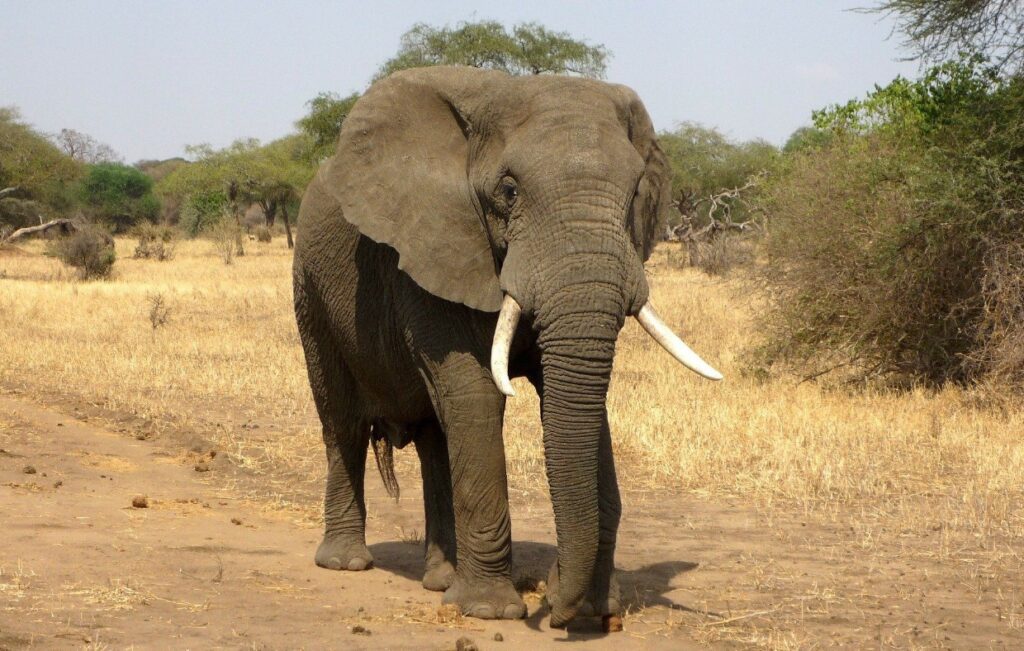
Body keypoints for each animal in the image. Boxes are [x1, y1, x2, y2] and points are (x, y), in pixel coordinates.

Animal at [288, 64, 720, 626]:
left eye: (633, 196)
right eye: (509, 191)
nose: (555, 607)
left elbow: (571, 399)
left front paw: (593, 609)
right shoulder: (432, 248)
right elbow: (477, 395)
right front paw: (489, 612)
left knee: (435, 437)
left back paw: (441, 579)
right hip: (309, 288)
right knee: (342, 420)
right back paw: (346, 563)